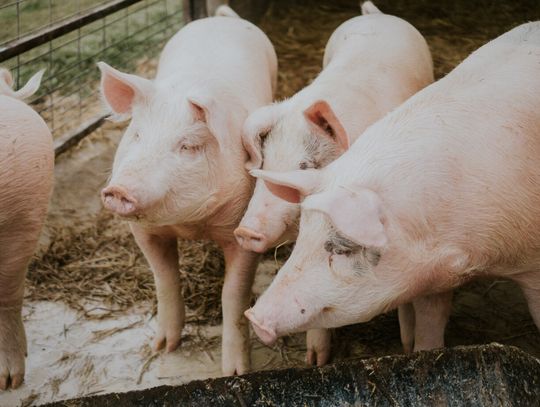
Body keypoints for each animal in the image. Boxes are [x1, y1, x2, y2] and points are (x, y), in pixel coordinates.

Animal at [98, 6, 276, 376]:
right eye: (136, 134)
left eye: (189, 146)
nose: (119, 189)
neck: (191, 224)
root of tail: (220, 17)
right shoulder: (143, 231)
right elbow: (164, 278)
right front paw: (163, 348)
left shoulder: (243, 227)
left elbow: (233, 295)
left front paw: (235, 372)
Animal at [235, 0, 434, 364]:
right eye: (266, 162)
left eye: (305, 164)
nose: (244, 232)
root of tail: (375, 15)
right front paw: (315, 361)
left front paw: (408, 345)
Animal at [245, 20, 540, 348]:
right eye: (302, 237)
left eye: (343, 249)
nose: (254, 317)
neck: (471, 257)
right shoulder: (432, 276)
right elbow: (431, 322)